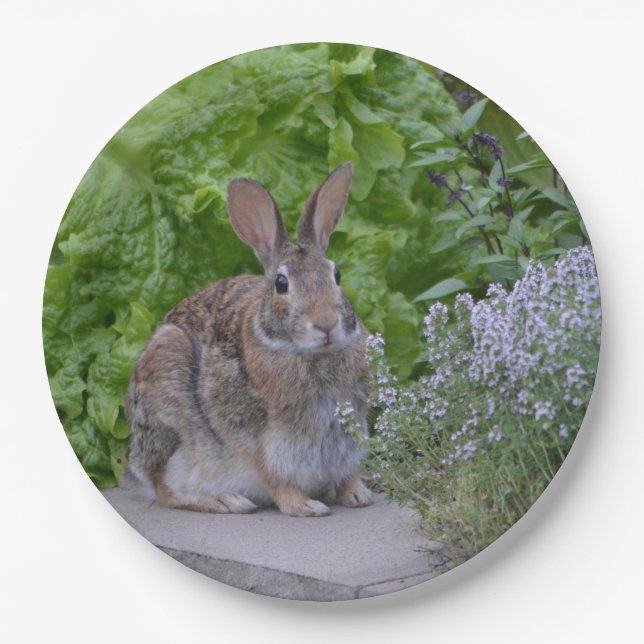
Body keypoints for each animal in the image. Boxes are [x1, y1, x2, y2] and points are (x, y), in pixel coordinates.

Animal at [124, 163, 373, 517]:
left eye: (336, 275)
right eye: (281, 284)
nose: (326, 323)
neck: (310, 354)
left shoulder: (348, 433)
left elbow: (345, 471)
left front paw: (357, 493)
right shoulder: (255, 440)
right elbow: (273, 476)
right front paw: (304, 506)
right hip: (168, 397)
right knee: (163, 488)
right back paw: (225, 500)